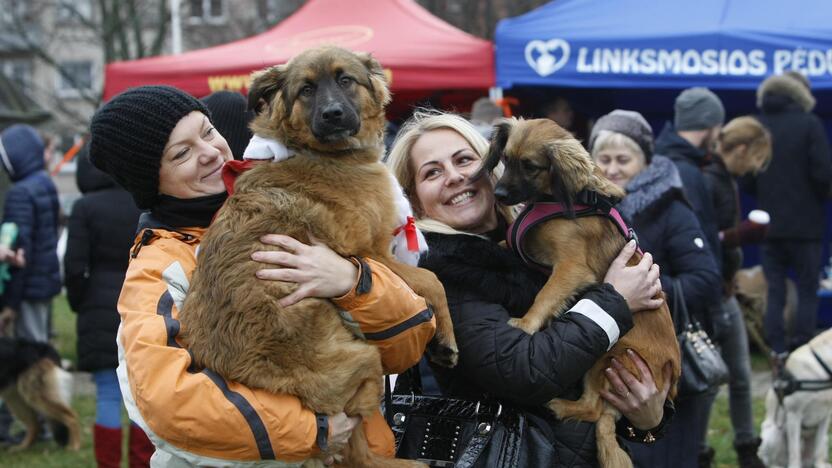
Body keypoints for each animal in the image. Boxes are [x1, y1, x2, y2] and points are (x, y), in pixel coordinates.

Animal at [178, 47, 458, 468]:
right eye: (306, 89)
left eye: (345, 80)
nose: (332, 115)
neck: (314, 152)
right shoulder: (372, 254)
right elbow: (433, 281)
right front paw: (446, 341)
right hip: (365, 361)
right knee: (356, 444)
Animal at [478, 118, 680, 468]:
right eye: (506, 159)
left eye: (530, 166)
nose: (500, 195)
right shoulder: (522, 248)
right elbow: (504, 244)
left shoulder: (572, 267)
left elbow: (545, 296)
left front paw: (526, 323)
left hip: (611, 353)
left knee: (592, 409)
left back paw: (558, 405)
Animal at [760, 330, 832, 468]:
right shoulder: (794, 415)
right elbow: (794, 450)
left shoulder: (826, 417)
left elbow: (819, 448)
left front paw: (820, 465)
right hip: (773, 434)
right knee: (768, 461)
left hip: (825, 439)